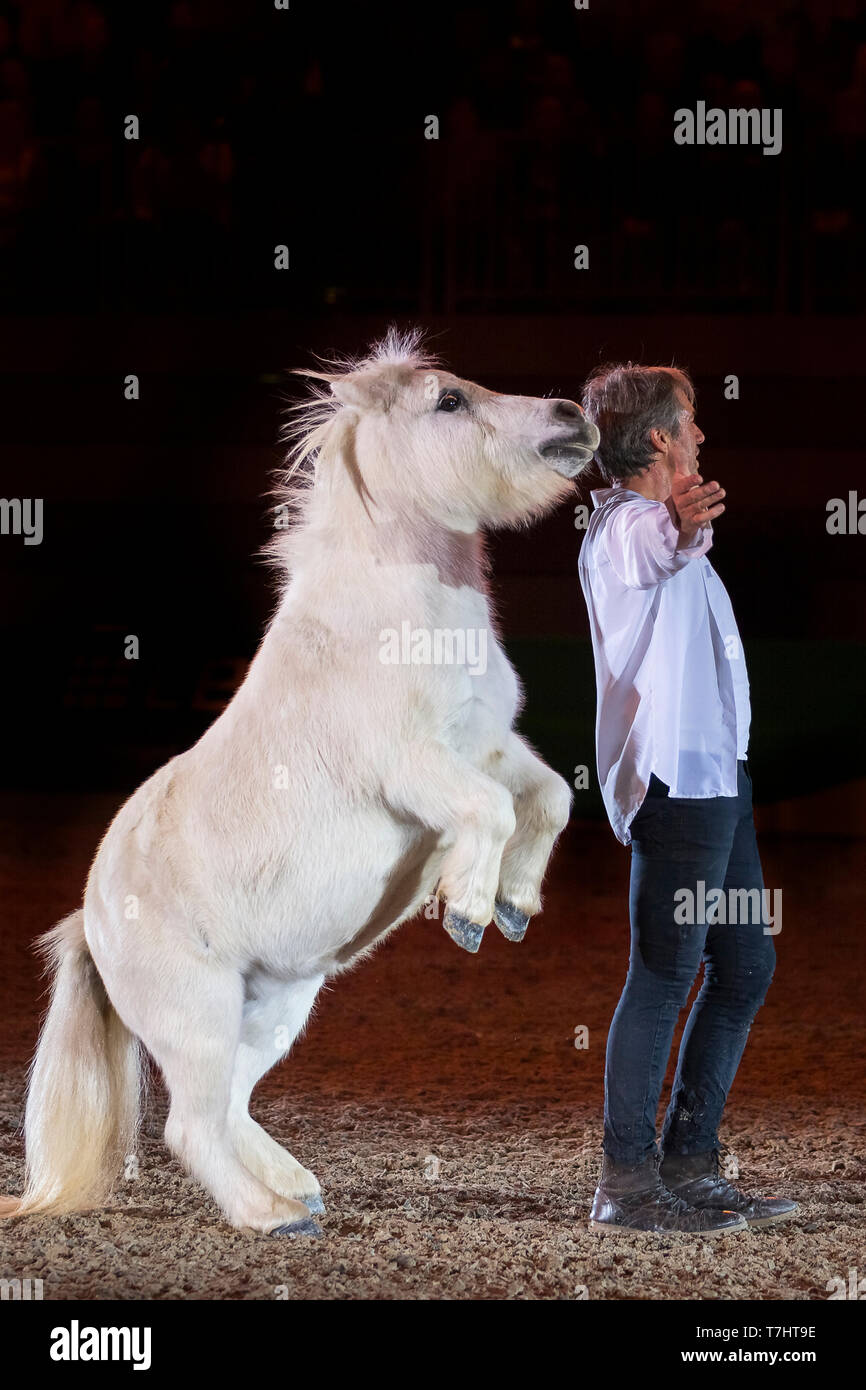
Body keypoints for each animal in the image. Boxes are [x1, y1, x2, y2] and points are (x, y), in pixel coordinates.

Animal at [0, 330, 600, 1234]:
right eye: (449, 401)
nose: (574, 416)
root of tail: (90, 921)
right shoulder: (415, 766)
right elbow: (492, 812)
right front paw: (466, 910)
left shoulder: (490, 744)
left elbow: (548, 799)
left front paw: (515, 905)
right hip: (200, 1016)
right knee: (191, 1126)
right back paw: (271, 1216)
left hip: (274, 1010)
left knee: (229, 1110)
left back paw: (297, 1190)